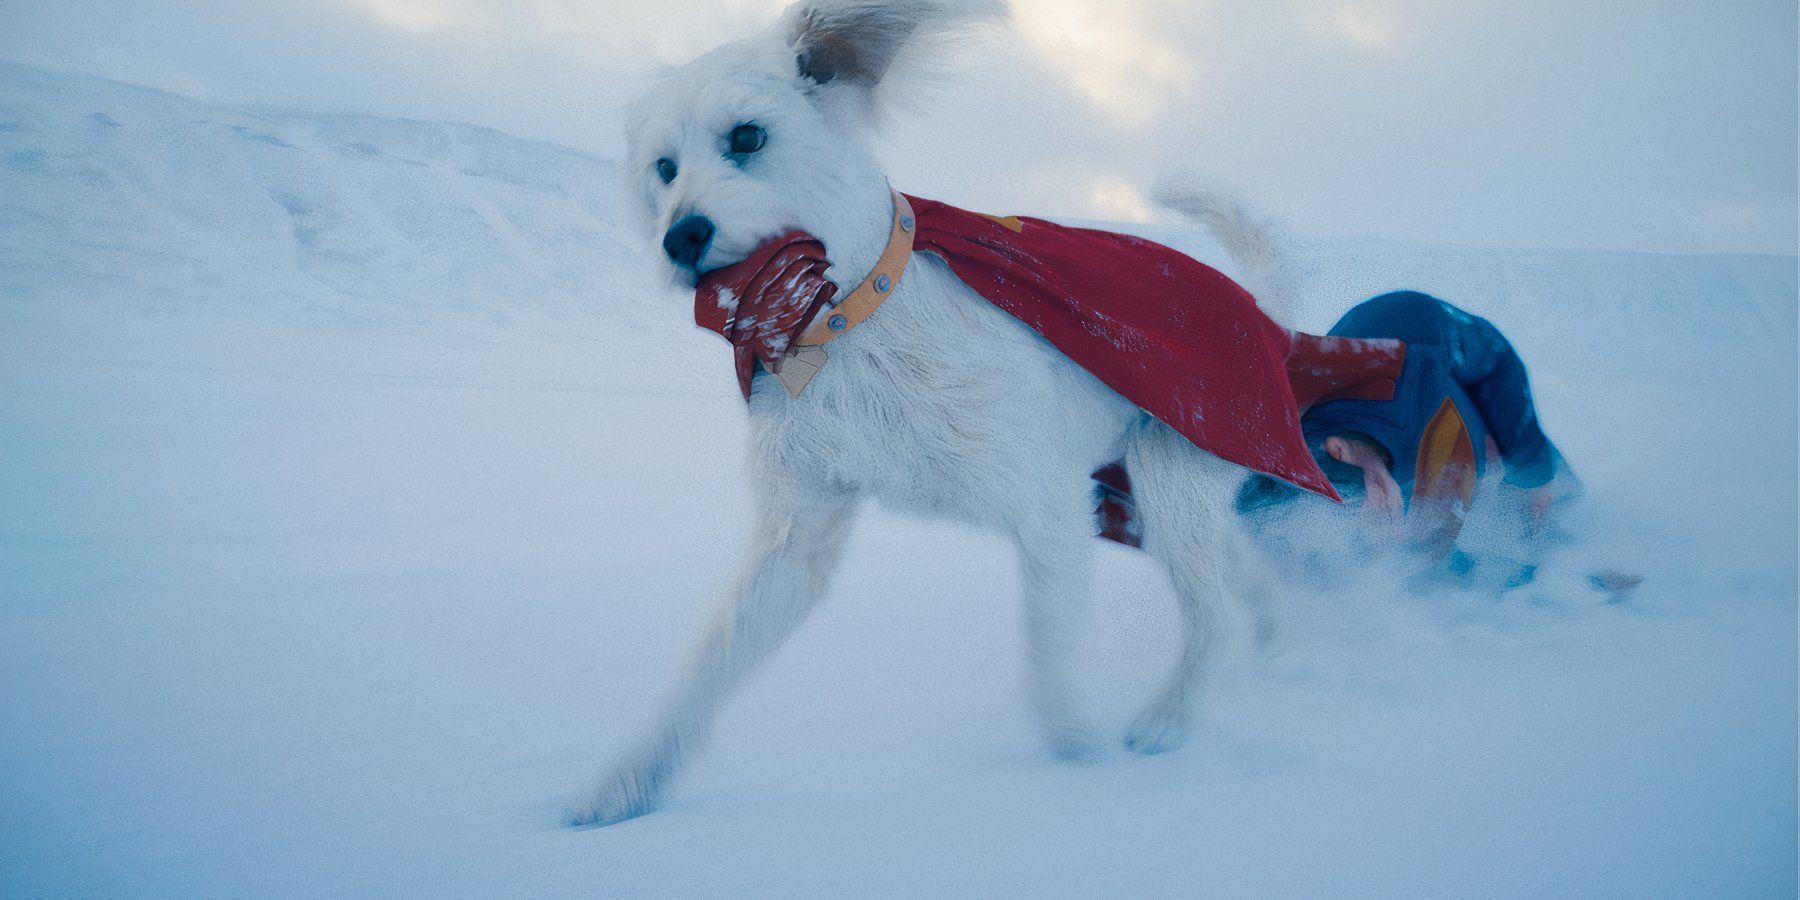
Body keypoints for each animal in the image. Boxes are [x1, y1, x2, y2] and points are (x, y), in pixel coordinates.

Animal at [568, 0, 1274, 828]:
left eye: (746, 137)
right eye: (663, 168)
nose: (680, 238)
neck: (840, 325)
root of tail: (1261, 313)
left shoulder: (1048, 503)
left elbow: (1046, 647)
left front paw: (1075, 754)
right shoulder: (798, 531)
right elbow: (709, 663)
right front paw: (629, 781)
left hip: (1170, 486)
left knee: (1211, 612)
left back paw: (1170, 717)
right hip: (1155, 503)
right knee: (1240, 575)